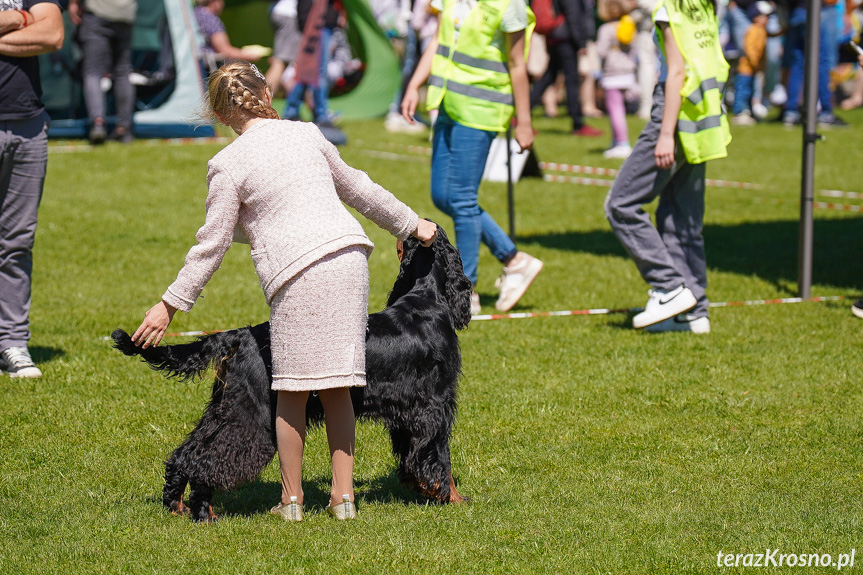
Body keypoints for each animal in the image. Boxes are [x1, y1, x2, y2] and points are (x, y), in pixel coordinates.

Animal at [113, 227, 472, 524]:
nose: (413, 227)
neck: (427, 299)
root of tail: (238, 335)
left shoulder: (409, 412)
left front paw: (423, 488)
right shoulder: (434, 406)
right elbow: (440, 456)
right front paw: (452, 498)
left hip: (226, 406)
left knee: (186, 453)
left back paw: (176, 505)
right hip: (252, 416)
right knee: (207, 460)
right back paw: (204, 514)